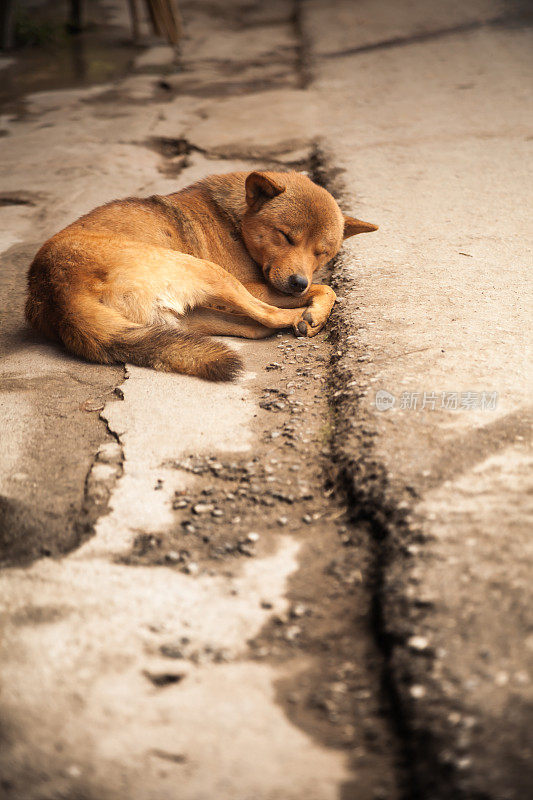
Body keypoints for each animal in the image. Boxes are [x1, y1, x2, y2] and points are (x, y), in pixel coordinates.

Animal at [23, 171, 374, 382]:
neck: (236, 221)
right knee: (270, 316)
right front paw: (314, 312)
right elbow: (327, 288)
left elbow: (322, 286)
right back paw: (302, 318)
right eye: (286, 236)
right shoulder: (257, 285)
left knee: (254, 326)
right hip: (210, 273)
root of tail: (56, 294)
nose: (298, 284)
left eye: (322, 252)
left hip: (186, 316)